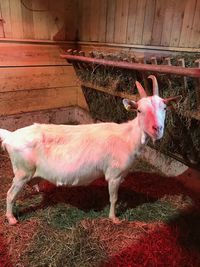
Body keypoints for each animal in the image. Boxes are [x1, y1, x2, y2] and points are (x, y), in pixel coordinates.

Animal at [0, 76, 181, 226]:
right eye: (139, 110)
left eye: (164, 108)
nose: (157, 129)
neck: (128, 137)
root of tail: (10, 135)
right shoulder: (114, 174)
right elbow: (114, 198)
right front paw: (114, 218)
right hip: (22, 172)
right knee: (10, 194)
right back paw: (11, 218)